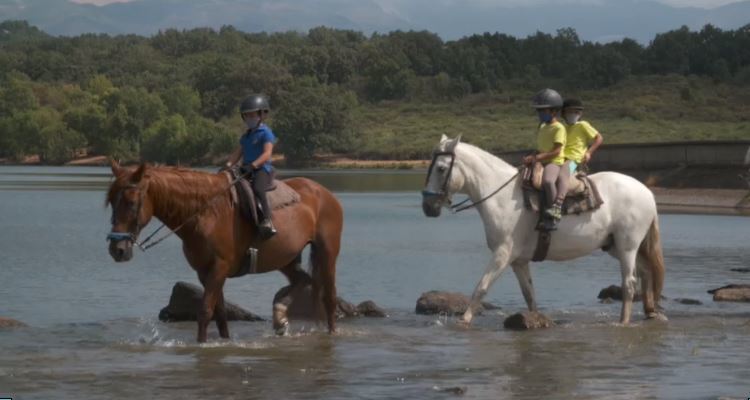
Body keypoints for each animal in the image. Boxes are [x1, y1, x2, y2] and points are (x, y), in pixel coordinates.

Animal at [105, 161, 344, 342]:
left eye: (131, 202)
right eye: (111, 202)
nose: (117, 250)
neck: (206, 213)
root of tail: (324, 193)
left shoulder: (218, 268)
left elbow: (204, 311)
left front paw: (201, 344)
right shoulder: (205, 272)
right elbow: (219, 313)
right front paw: (224, 342)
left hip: (327, 253)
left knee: (329, 297)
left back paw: (329, 331)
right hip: (285, 258)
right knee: (303, 280)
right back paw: (279, 316)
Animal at [424, 134, 668, 324]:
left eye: (441, 168)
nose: (428, 207)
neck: (503, 197)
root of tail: (647, 192)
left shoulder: (503, 254)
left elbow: (481, 287)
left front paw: (464, 321)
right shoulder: (519, 261)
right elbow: (529, 295)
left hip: (628, 246)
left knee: (629, 284)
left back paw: (623, 322)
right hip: (614, 246)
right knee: (646, 273)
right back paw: (650, 312)